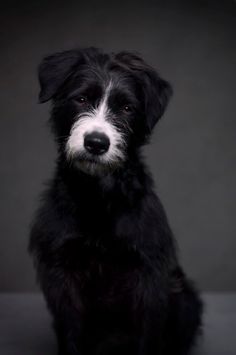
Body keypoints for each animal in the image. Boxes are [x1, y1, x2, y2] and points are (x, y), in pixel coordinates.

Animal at [29, 48, 203, 355]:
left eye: (127, 108)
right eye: (81, 98)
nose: (96, 143)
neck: (98, 196)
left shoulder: (147, 276)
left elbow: (148, 334)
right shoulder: (62, 273)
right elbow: (70, 332)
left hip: (186, 299)